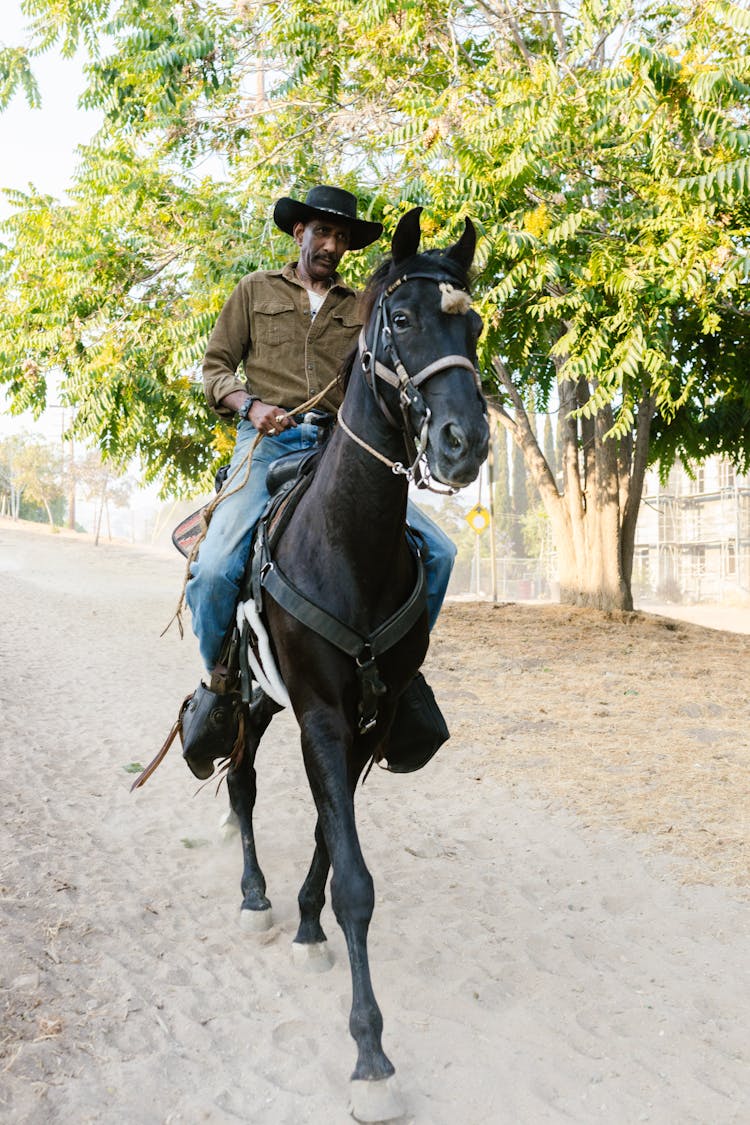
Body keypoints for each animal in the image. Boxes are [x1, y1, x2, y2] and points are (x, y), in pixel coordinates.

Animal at [193, 209, 490, 1116]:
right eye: (400, 319)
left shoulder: (366, 718)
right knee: (242, 782)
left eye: (474, 325)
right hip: (251, 698)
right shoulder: (318, 713)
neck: (347, 546)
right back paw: (253, 896)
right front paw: (370, 1053)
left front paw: (308, 921)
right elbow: (357, 876)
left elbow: (335, 833)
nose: (465, 443)